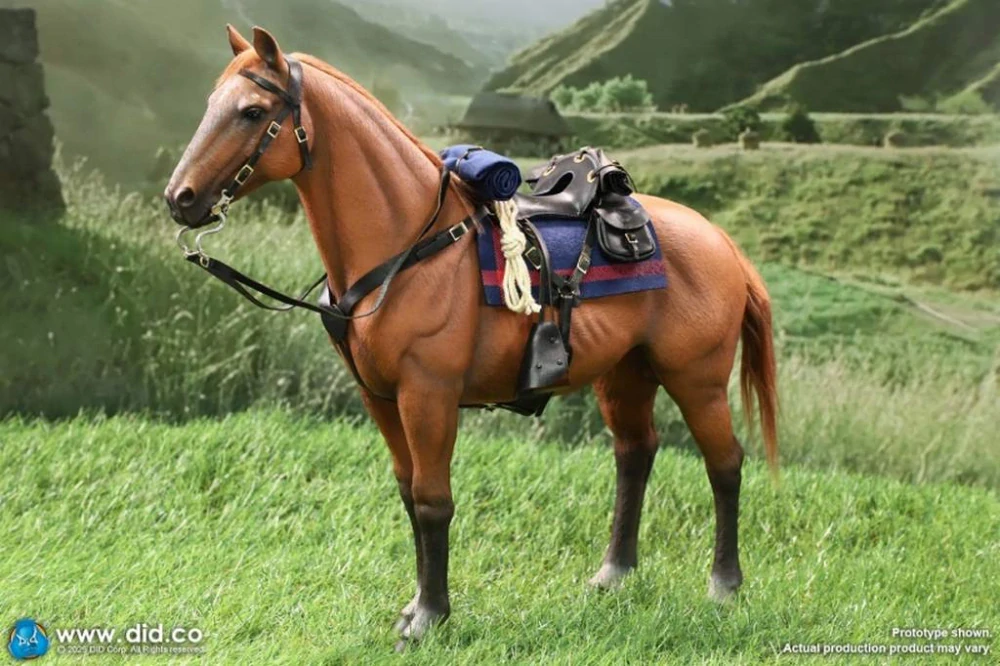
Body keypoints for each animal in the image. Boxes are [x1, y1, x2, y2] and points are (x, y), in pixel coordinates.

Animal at [164, 25, 779, 648]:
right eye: (213, 104)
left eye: (252, 111)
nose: (180, 198)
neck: (411, 243)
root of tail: (721, 241)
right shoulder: (380, 397)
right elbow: (409, 494)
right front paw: (416, 607)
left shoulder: (428, 395)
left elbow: (433, 501)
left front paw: (430, 617)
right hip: (624, 375)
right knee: (635, 454)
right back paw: (613, 574)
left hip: (696, 378)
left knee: (725, 463)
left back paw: (724, 585)